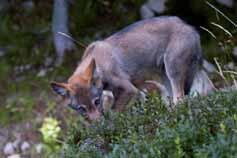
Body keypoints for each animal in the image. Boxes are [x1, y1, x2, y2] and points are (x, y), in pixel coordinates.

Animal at [51, 16, 214, 121]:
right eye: (81, 109)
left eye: (96, 102)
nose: (97, 124)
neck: (100, 64)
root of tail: (190, 27)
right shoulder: (137, 91)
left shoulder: (129, 90)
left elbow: (113, 114)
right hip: (168, 77)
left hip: (173, 73)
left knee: (180, 99)